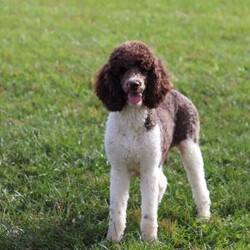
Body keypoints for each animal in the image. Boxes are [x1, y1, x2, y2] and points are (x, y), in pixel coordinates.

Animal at [94, 41, 210, 242]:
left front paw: (149, 239)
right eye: (121, 69)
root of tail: (174, 92)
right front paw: (113, 239)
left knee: (198, 183)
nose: (134, 84)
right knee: (162, 182)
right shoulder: (119, 169)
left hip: (190, 147)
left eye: (145, 68)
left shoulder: (148, 169)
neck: (133, 122)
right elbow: (117, 209)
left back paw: (204, 216)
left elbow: (148, 211)